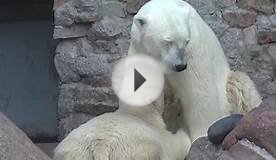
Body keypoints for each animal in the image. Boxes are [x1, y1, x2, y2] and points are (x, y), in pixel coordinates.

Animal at [130, 0, 262, 142]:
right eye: (168, 41)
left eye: (186, 41)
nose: (180, 66)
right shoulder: (141, 51)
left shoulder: (193, 52)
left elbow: (198, 95)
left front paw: (201, 135)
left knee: (242, 87)